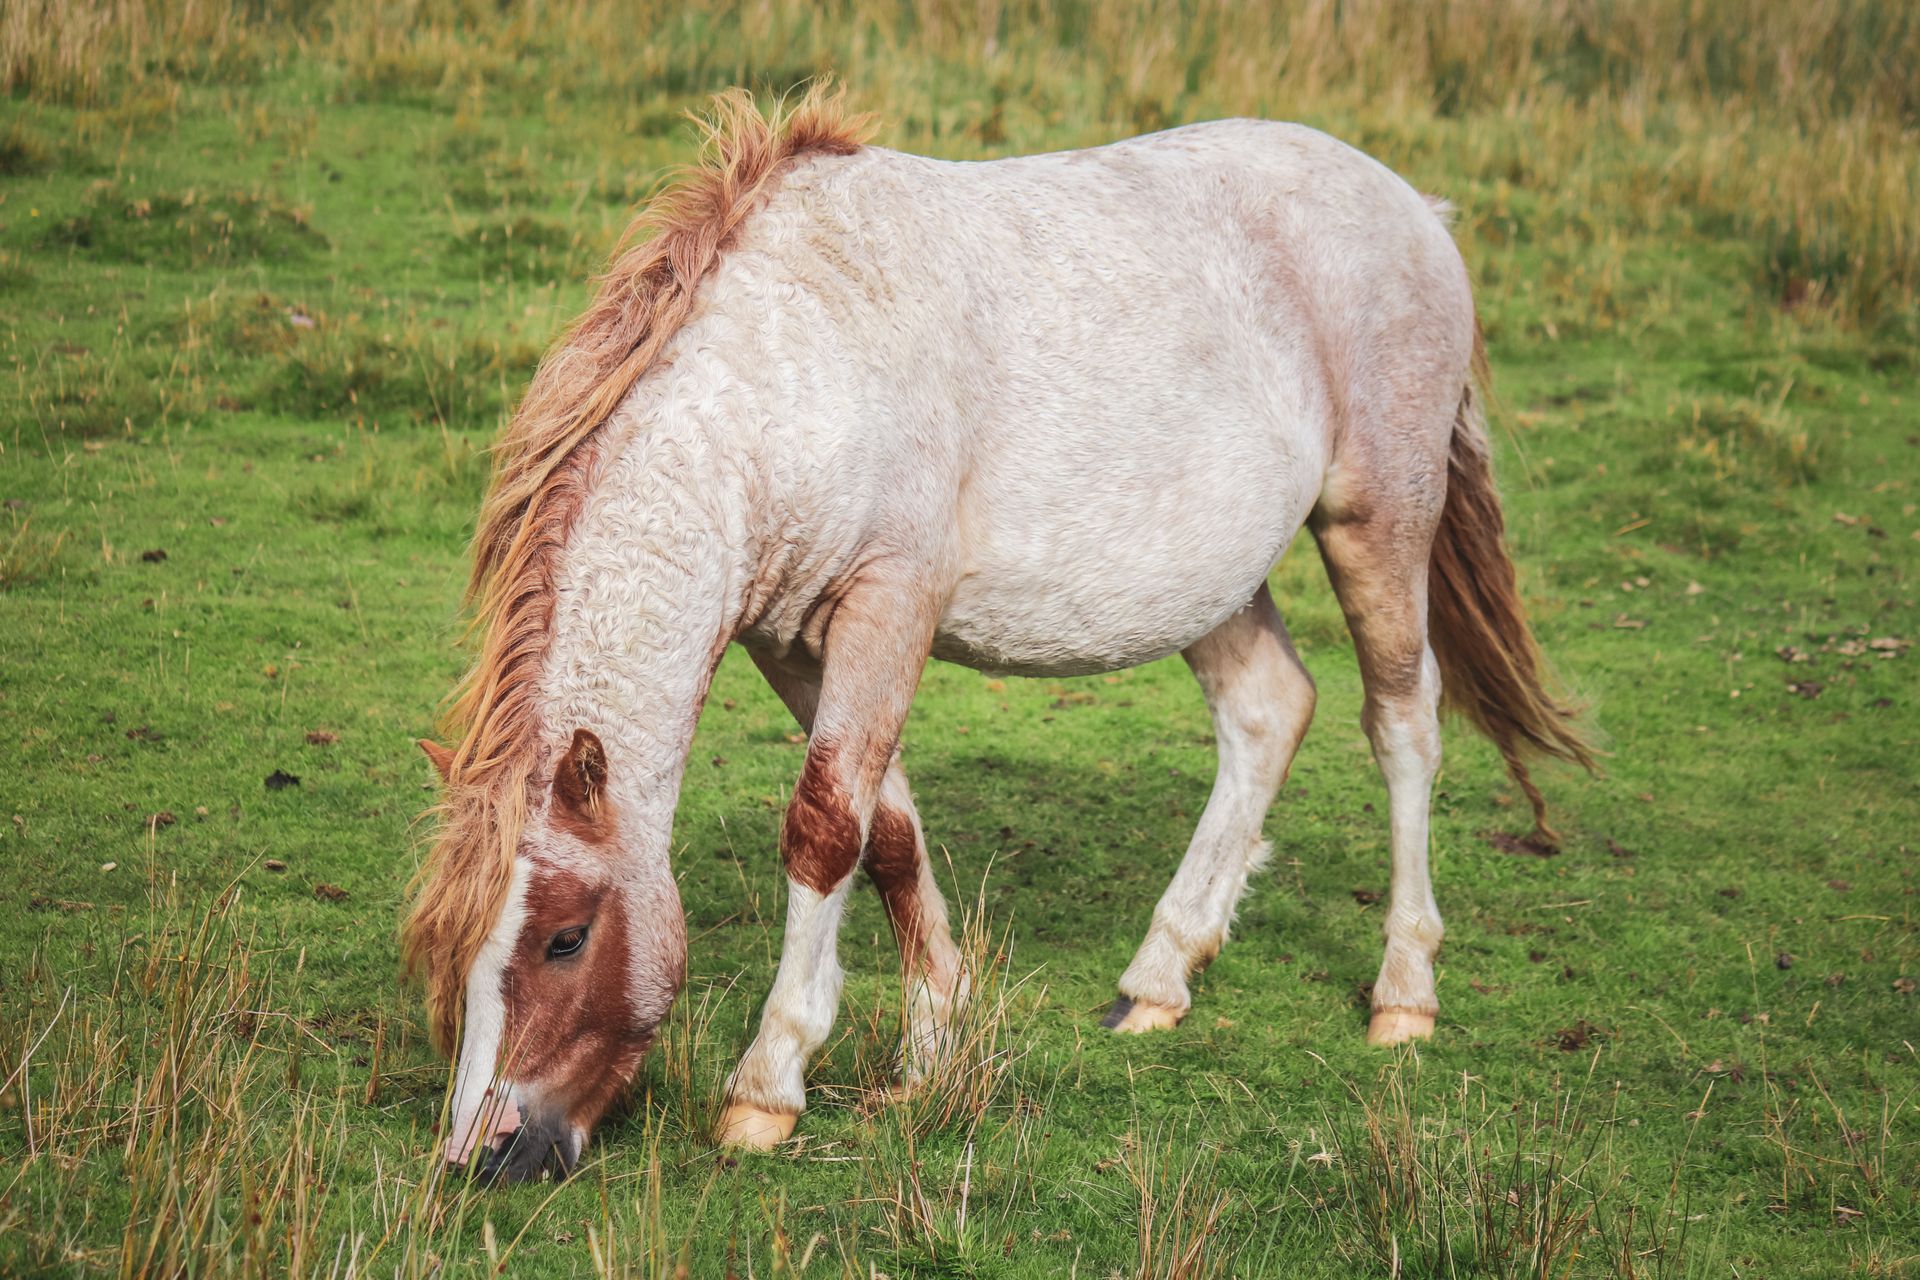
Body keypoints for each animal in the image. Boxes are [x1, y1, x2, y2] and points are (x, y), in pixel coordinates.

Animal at [406, 85, 1592, 1183]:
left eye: (565, 936)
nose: (483, 1152)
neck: (790, 370)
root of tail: (1415, 209)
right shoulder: (793, 638)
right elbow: (886, 828)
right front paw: (934, 1041)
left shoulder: (888, 604)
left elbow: (824, 829)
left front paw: (769, 1084)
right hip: (1212, 582)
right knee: (1268, 711)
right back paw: (1159, 978)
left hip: (1378, 521)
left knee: (1402, 722)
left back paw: (1403, 991)